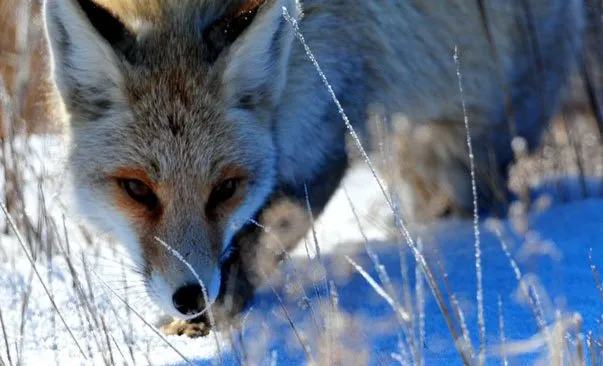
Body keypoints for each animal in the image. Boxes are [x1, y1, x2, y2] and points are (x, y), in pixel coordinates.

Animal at [44, 0, 588, 334]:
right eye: (137, 189)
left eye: (225, 189)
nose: (190, 296)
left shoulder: (322, 126)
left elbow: (262, 242)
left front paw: (223, 313)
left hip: (476, 140)